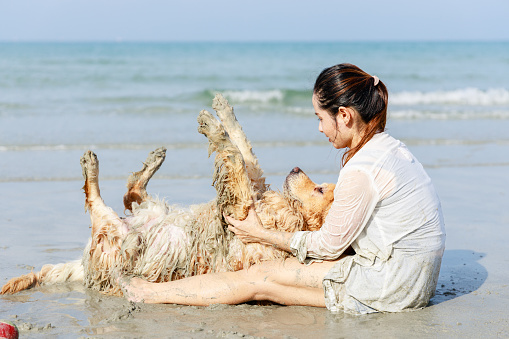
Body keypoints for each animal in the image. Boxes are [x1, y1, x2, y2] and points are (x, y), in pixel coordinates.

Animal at [1, 94, 336, 296]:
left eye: (320, 188)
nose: (295, 167)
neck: (294, 214)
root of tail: (83, 268)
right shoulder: (253, 189)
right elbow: (245, 151)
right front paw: (223, 110)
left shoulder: (240, 209)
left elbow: (235, 156)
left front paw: (213, 125)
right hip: (148, 212)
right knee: (132, 193)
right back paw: (152, 161)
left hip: (119, 237)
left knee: (97, 201)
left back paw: (92, 166)